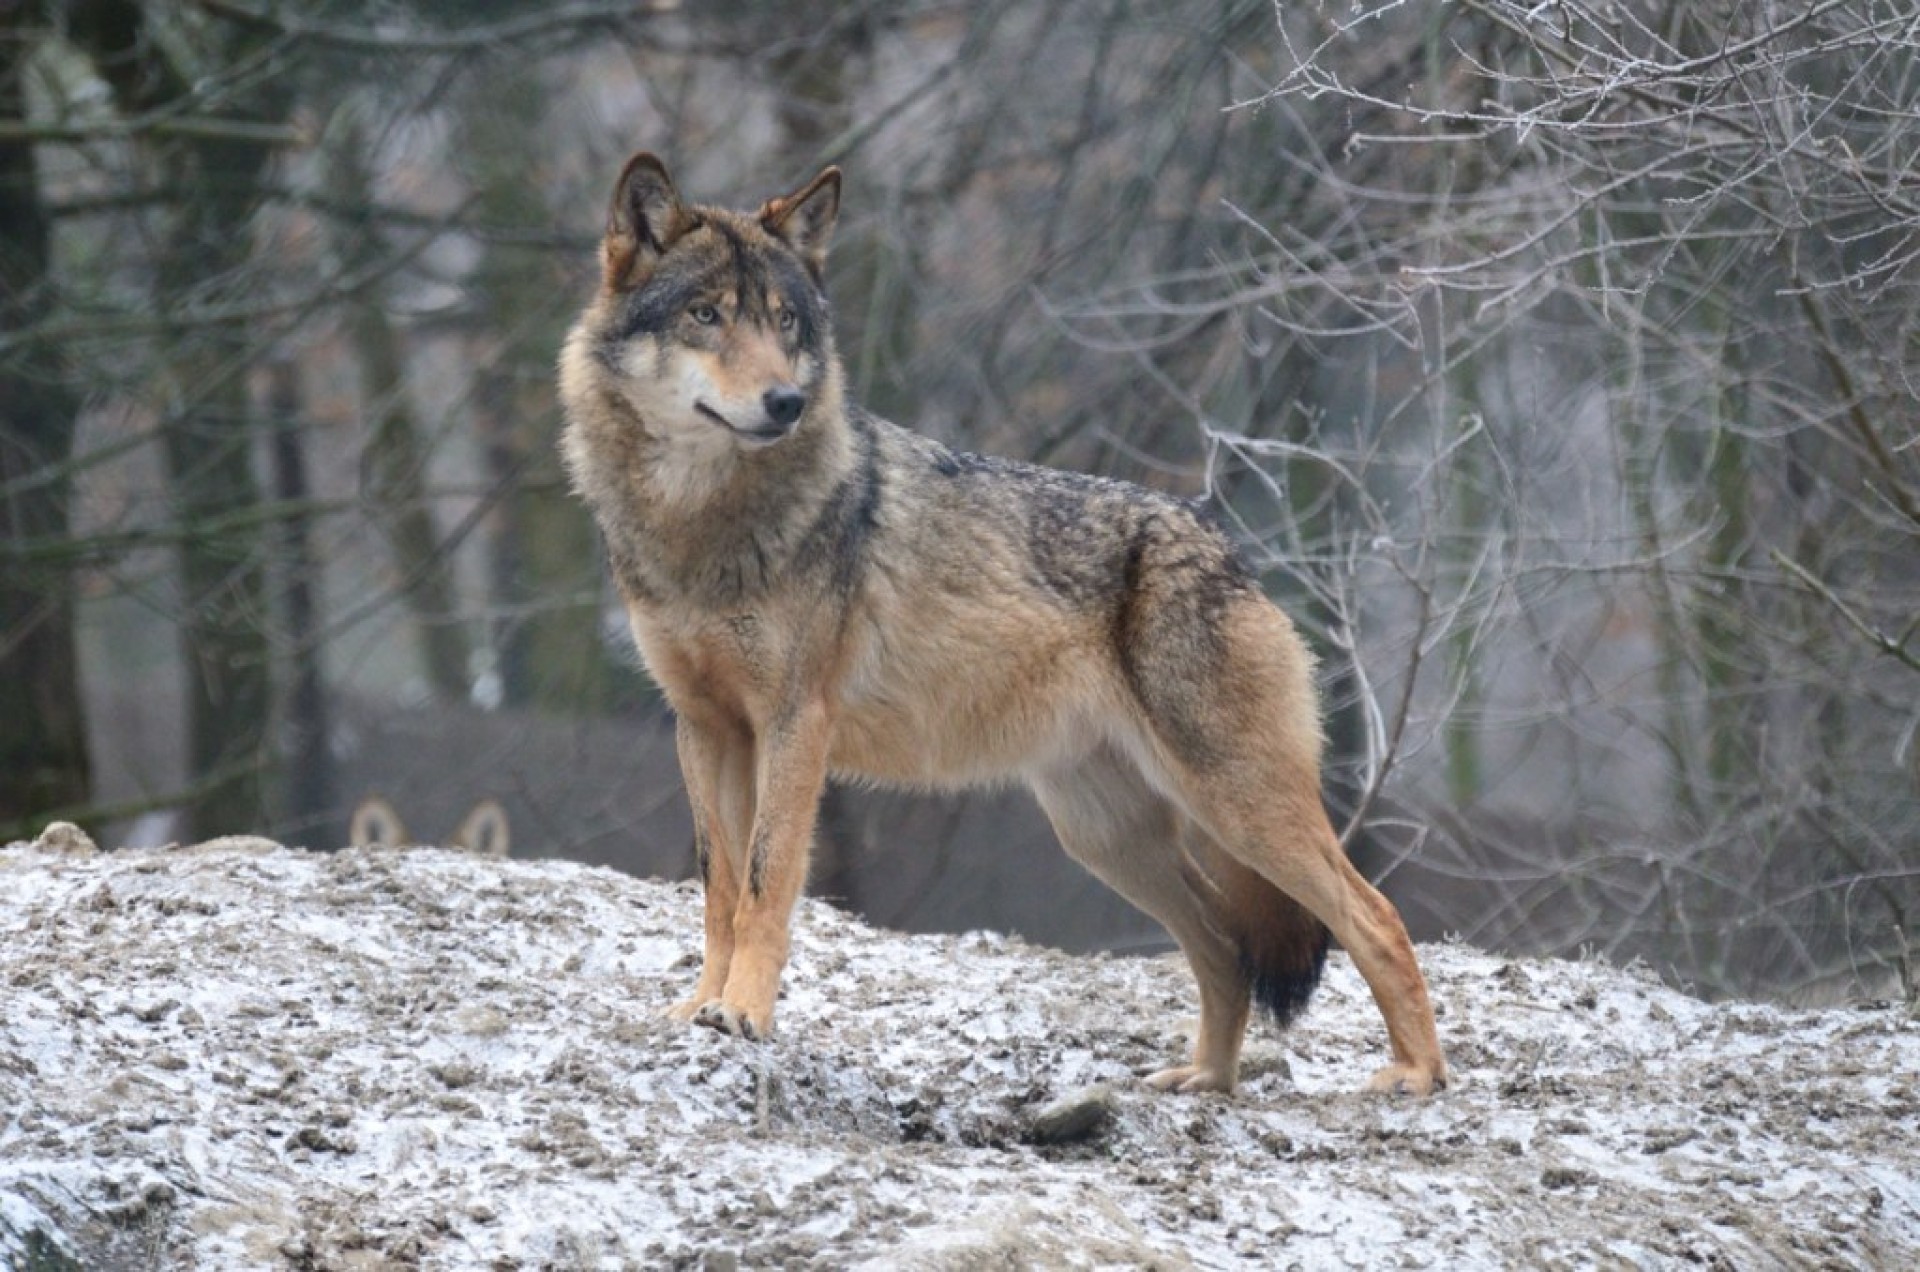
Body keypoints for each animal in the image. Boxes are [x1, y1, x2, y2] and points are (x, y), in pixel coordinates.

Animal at [556, 156, 1443, 1099]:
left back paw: (1418, 1075)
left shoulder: (795, 727)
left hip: (1239, 808)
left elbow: (767, 883)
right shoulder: (705, 727)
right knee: (1224, 945)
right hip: (1107, 837)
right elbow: (720, 886)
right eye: (707, 315)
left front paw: (745, 1016)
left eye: (784, 320)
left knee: (1375, 915)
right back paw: (1204, 1078)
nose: (786, 401)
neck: (701, 522)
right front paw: (700, 1009)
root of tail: (1229, 548)